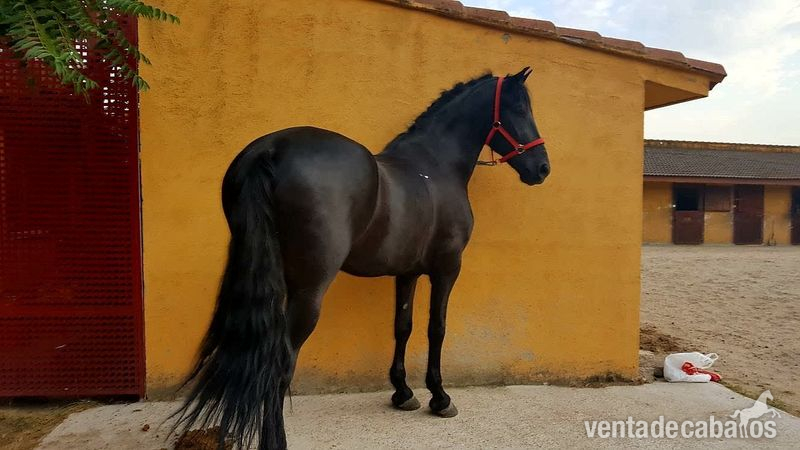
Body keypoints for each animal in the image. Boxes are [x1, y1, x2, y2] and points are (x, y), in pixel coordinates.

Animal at [173, 67, 550, 449]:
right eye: (520, 108)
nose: (542, 168)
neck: (434, 167)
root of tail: (271, 149)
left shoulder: (408, 272)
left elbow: (403, 326)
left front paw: (402, 393)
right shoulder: (447, 268)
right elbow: (437, 328)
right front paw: (440, 397)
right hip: (308, 290)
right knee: (281, 363)